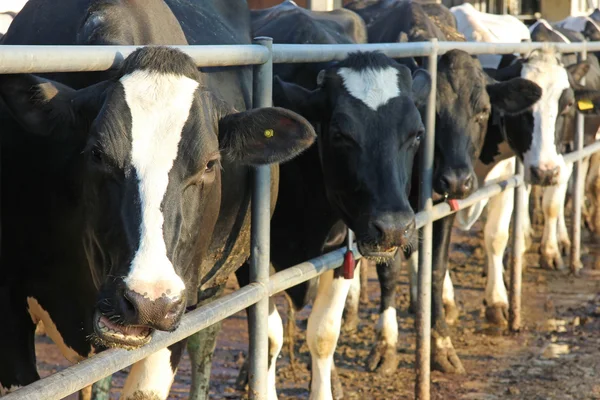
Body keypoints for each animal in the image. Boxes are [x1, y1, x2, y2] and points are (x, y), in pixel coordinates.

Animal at [342, 0, 544, 376]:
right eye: (429, 113)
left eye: (483, 112)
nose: (457, 180)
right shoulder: (386, 214)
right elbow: (388, 270)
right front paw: (386, 344)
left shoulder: (441, 206)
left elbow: (435, 270)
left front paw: (439, 343)